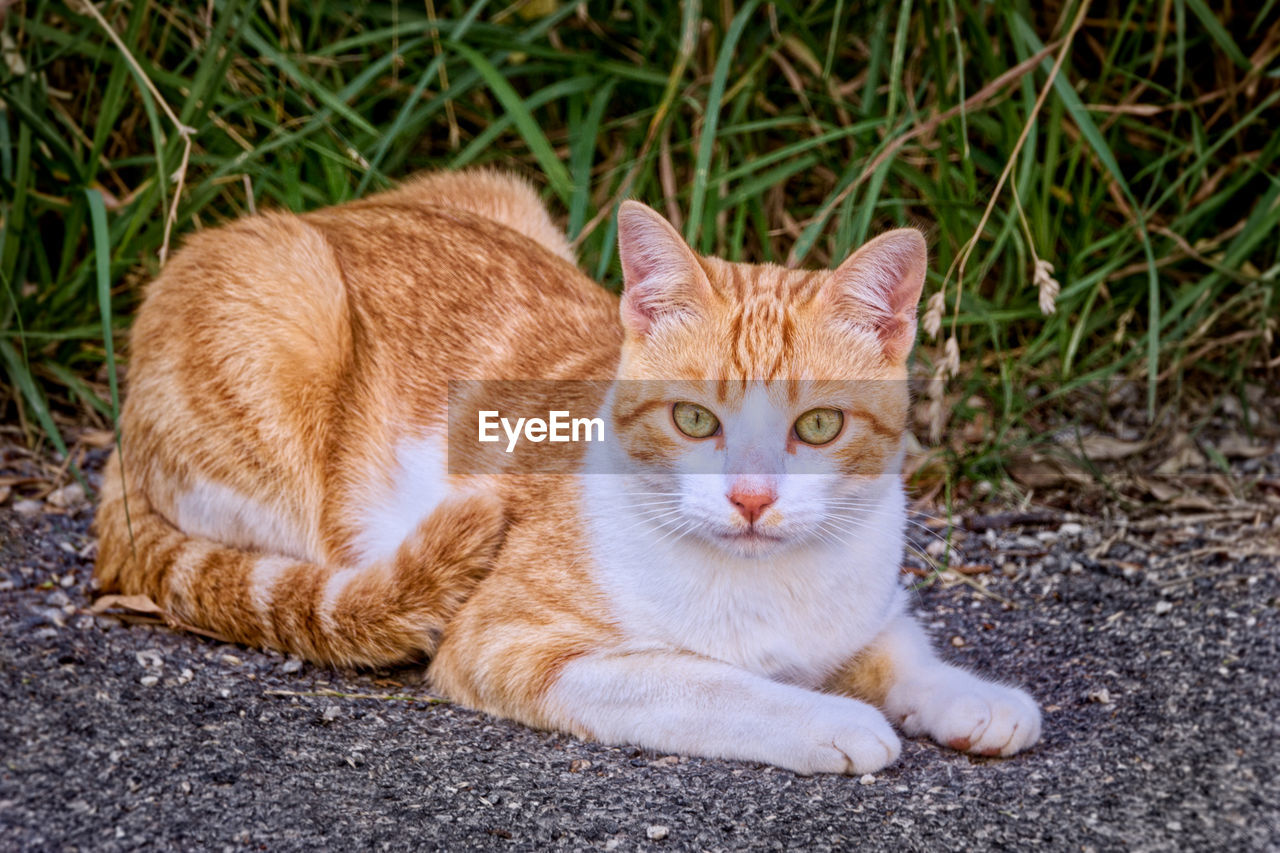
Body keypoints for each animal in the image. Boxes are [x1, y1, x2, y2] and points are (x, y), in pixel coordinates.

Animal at [97, 169, 1039, 773]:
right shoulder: (514, 643)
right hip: (291, 322)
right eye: (693, 420)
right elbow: (705, 680)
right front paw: (828, 716)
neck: (765, 585)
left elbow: (904, 649)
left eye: (818, 426)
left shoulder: (865, 607)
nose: (751, 497)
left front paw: (970, 698)